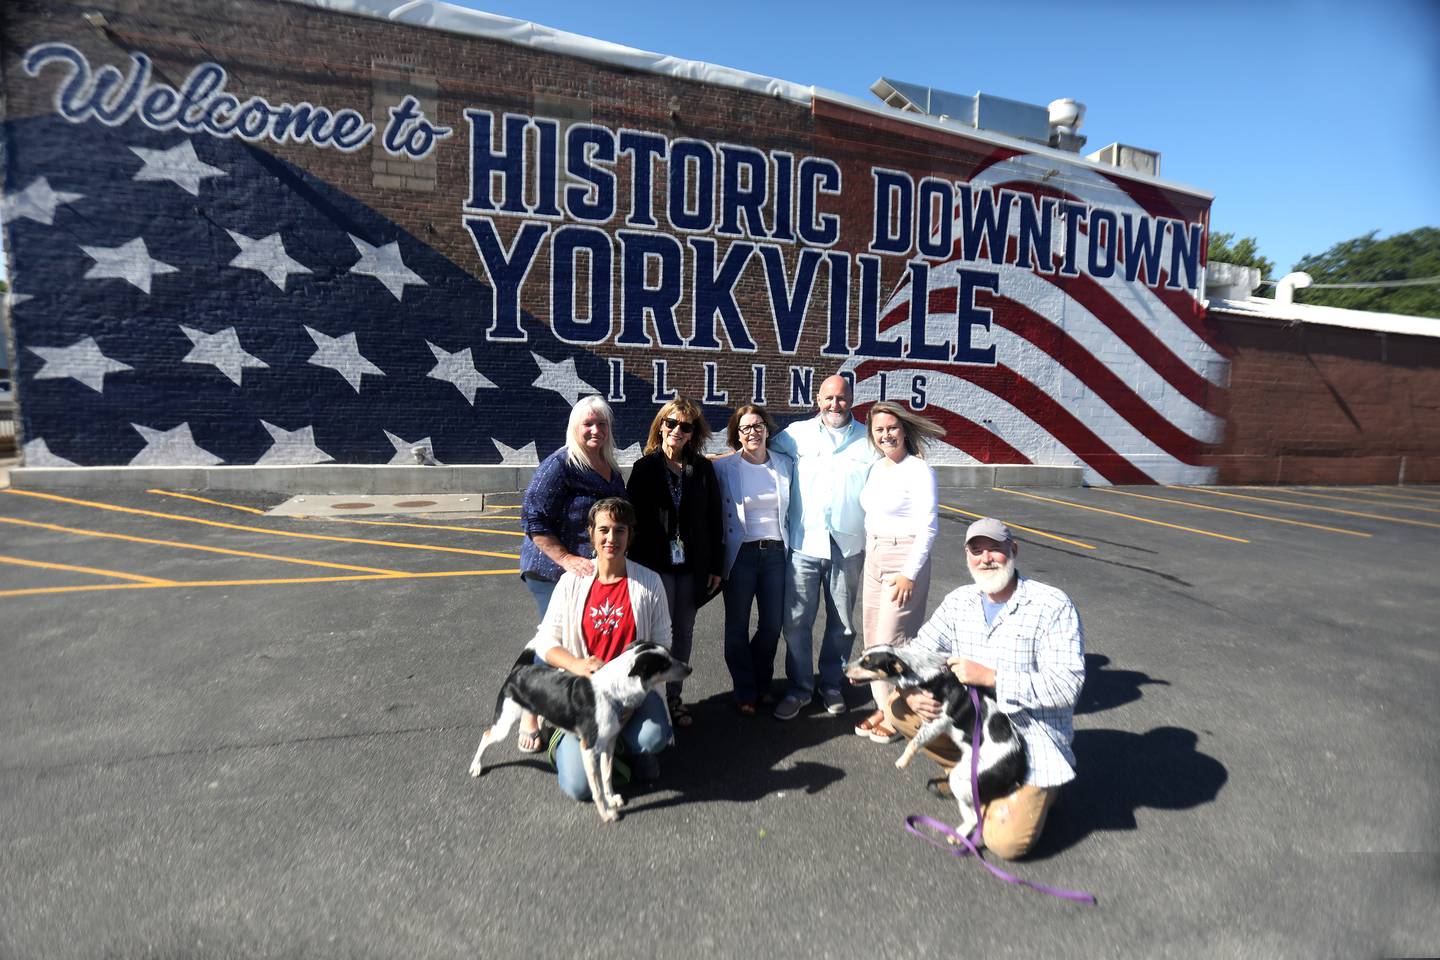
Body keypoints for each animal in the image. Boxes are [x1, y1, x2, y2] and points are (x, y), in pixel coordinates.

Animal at [469, 641, 688, 823]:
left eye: (670, 654)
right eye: (664, 664)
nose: (689, 668)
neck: (612, 692)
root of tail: (519, 668)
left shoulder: (610, 743)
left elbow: (607, 776)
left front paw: (612, 798)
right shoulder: (589, 749)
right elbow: (597, 789)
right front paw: (606, 814)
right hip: (504, 722)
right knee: (486, 735)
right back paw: (476, 766)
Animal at [840, 644, 1025, 840]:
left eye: (868, 663)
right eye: (861, 656)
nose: (844, 669)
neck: (926, 670)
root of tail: (1016, 771)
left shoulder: (937, 721)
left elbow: (914, 742)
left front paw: (902, 761)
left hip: (962, 778)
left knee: (975, 817)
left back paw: (957, 835)